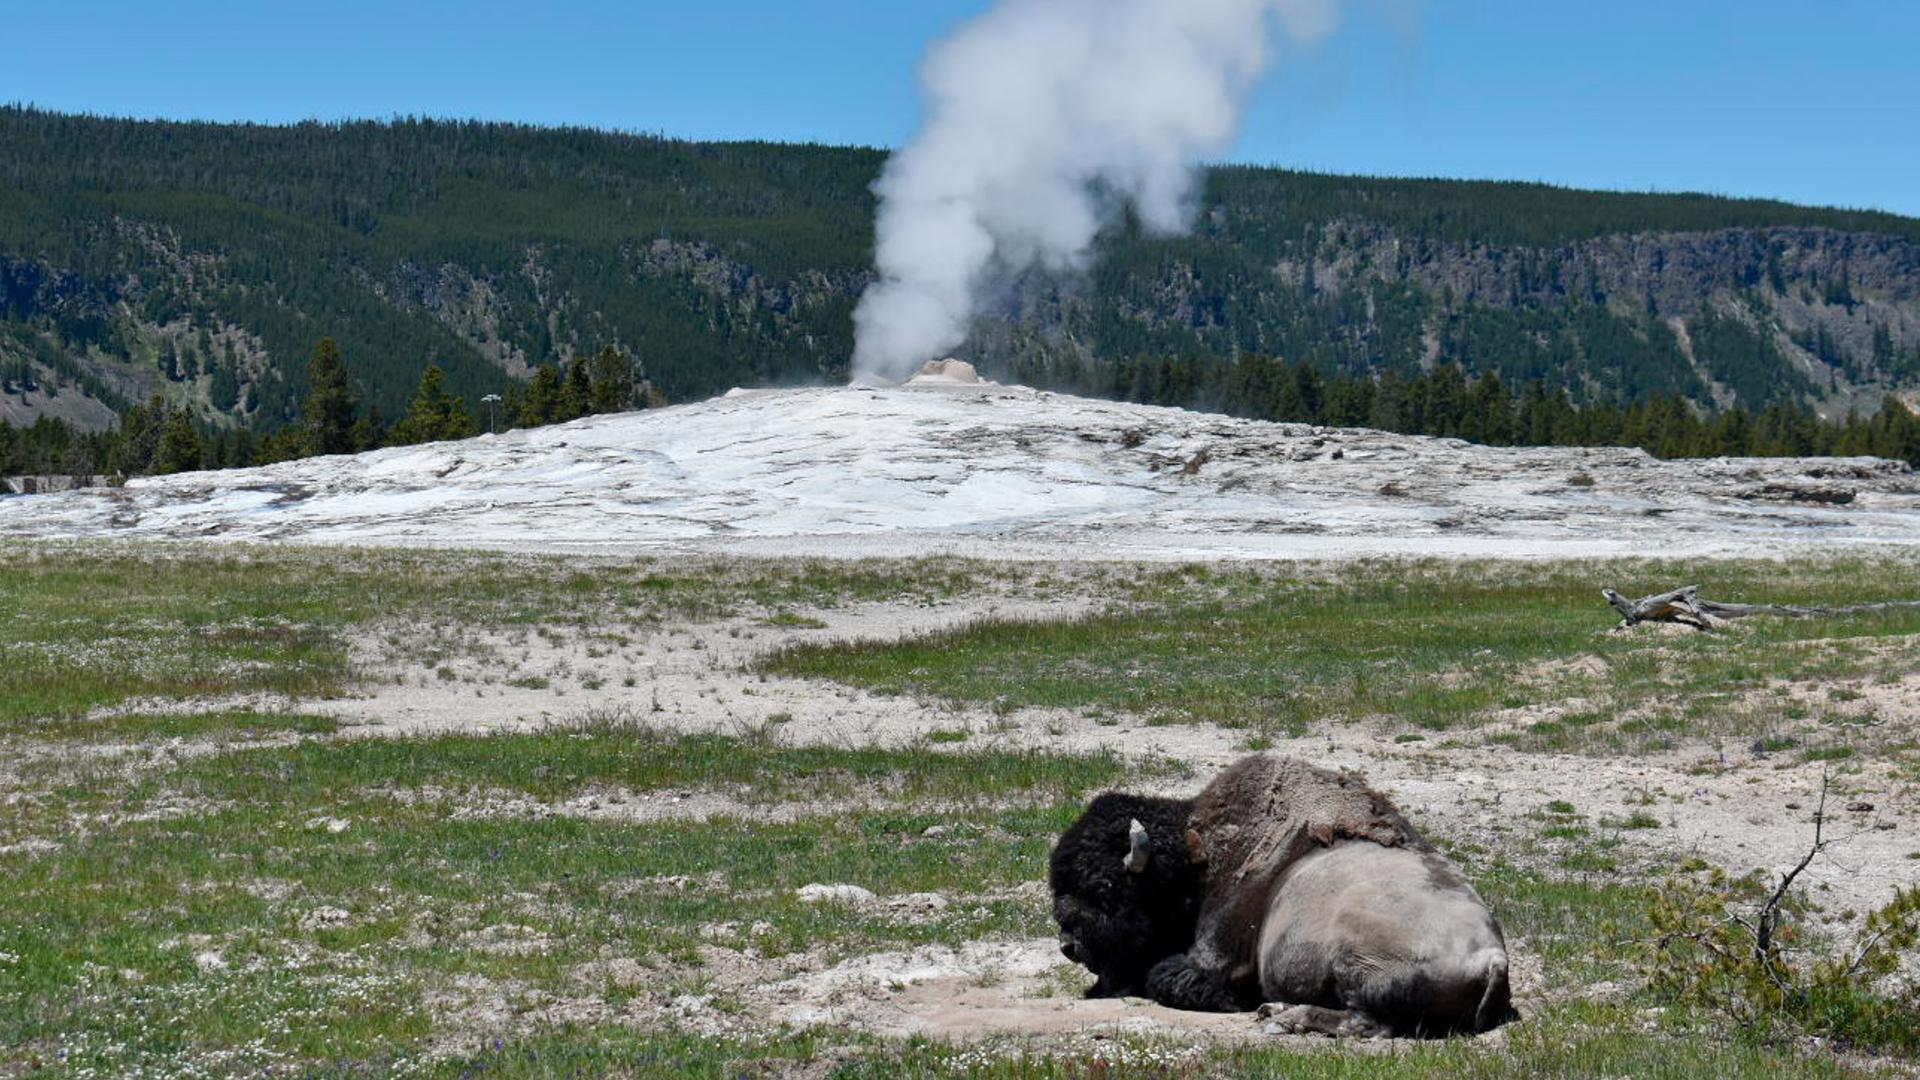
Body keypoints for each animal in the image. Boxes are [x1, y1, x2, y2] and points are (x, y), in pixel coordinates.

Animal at [1052, 749, 1512, 1037]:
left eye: (1105, 889)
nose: (1069, 945)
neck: (1197, 859)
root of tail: (1493, 958)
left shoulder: (1214, 956)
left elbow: (1170, 976)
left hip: (1358, 962)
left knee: (1366, 1023)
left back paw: (1280, 1016)